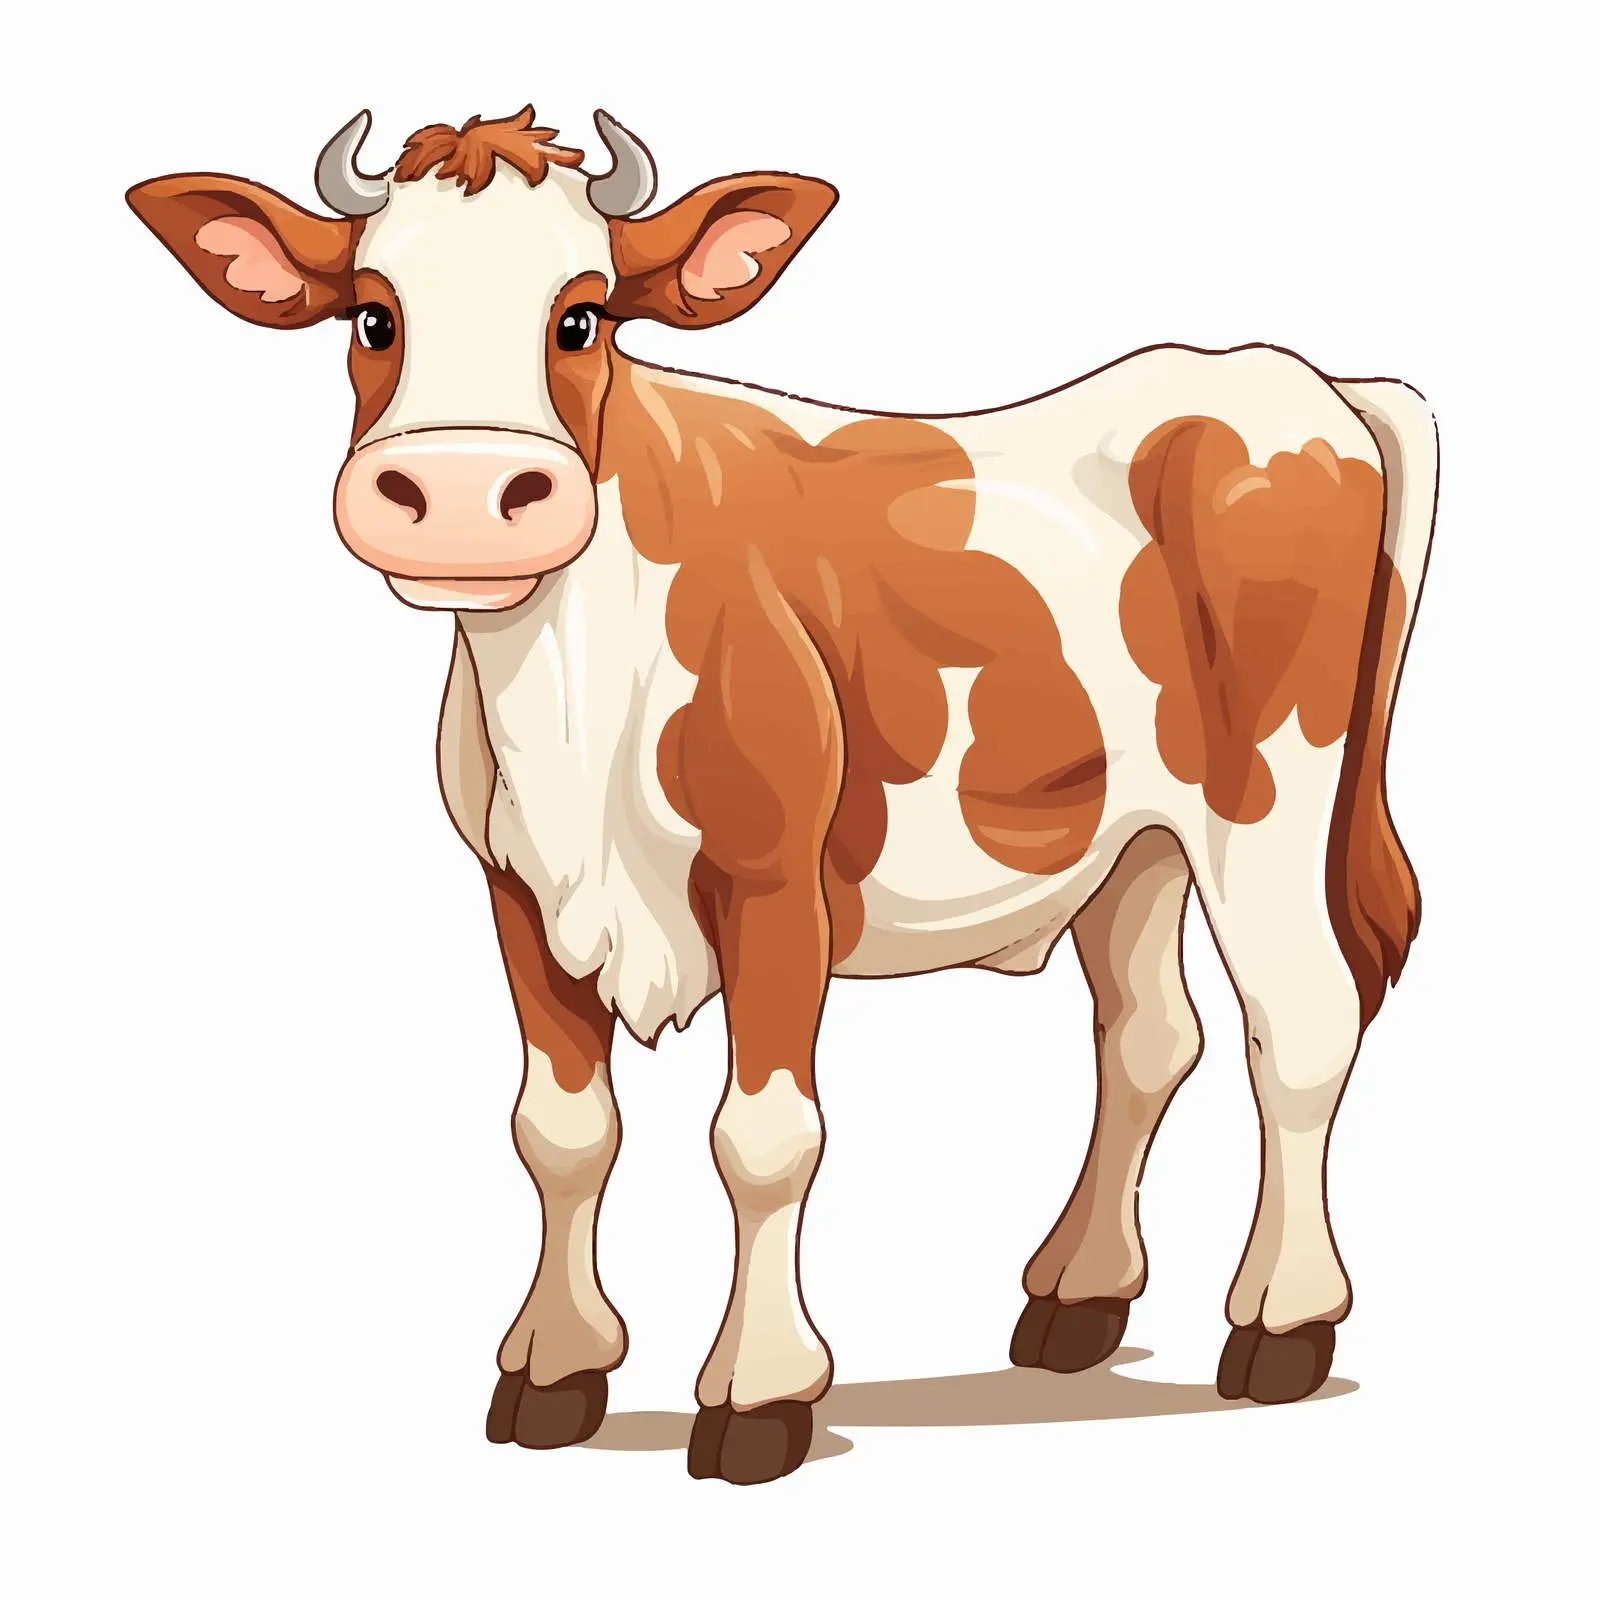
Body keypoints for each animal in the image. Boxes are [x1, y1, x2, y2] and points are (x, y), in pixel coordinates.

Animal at [128, 104, 1435, 1485]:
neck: (577, 703)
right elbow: (560, 1129)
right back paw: (1078, 1295)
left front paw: (759, 1394)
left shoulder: (774, 881)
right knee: (1146, 1034)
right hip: (1131, 839)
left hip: (1267, 803)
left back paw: (1282, 1322)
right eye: (374, 316)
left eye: (581, 317)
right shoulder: (516, 887)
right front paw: (555, 1366)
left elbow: (762, 1141)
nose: (465, 499)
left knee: (1298, 1022)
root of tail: (1294, 381)